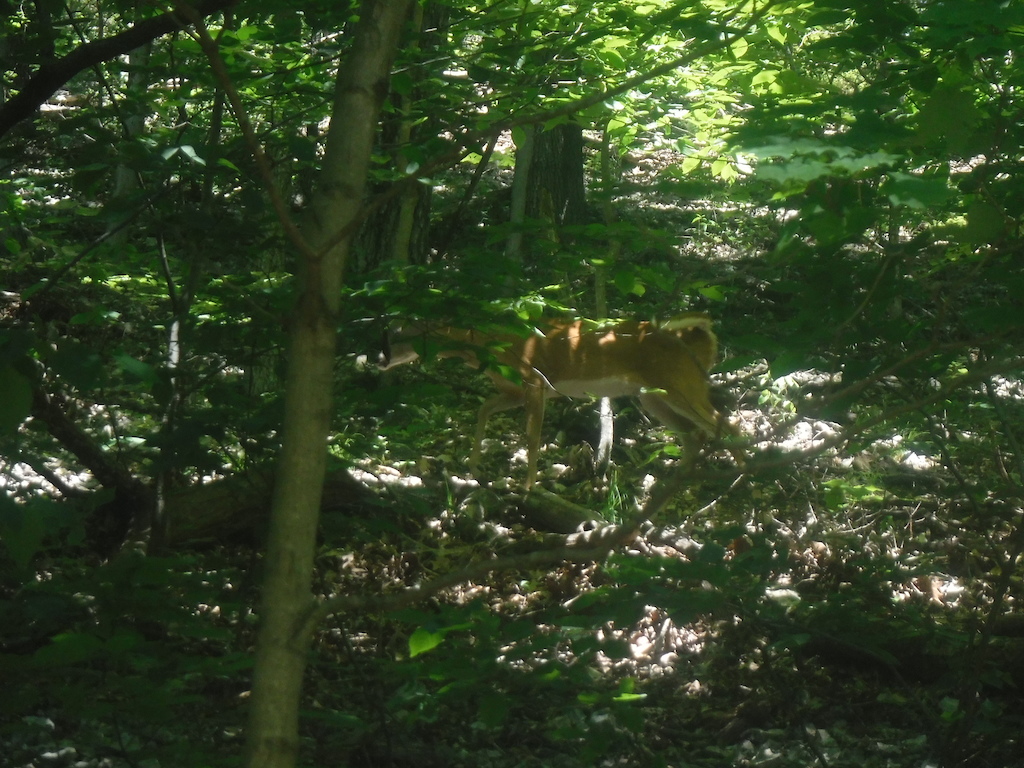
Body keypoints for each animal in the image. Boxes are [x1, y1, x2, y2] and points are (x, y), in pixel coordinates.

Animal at [378, 312, 741, 489]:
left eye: (400, 334)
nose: (378, 359)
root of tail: (700, 336)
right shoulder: (513, 390)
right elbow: (483, 409)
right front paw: (475, 466)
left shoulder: (534, 379)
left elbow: (532, 436)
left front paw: (528, 487)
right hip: (653, 396)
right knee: (693, 434)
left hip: (680, 384)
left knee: (727, 424)